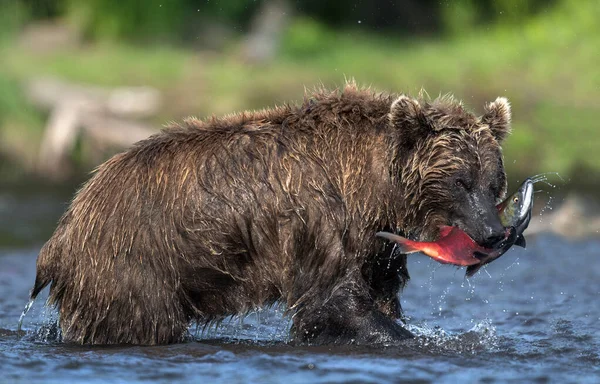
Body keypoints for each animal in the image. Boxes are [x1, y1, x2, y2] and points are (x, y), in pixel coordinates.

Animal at [29, 83, 510, 344]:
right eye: (459, 180)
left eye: (493, 181)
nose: (493, 233)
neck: (372, 189)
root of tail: (65, 226)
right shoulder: (318, 223)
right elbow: (332, 304)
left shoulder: (374, 245)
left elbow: (378, 296)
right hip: (133, 264)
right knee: (140, 322)